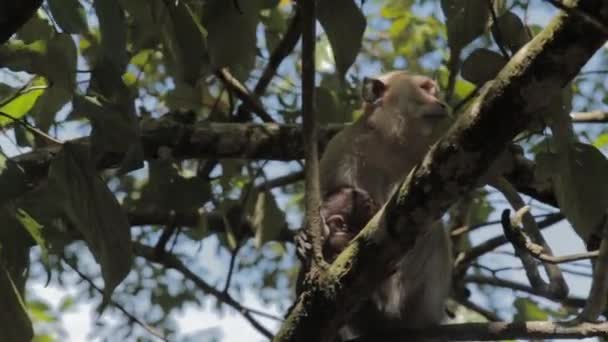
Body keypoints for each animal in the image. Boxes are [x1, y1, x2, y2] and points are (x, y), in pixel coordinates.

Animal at [296, 71, 454, 340]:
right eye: (425, 89)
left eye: (434, 91)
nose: (442, 103)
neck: (391, 142)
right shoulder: (343, 145)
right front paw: (308, 239)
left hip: (420, 303)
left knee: (431, 230)